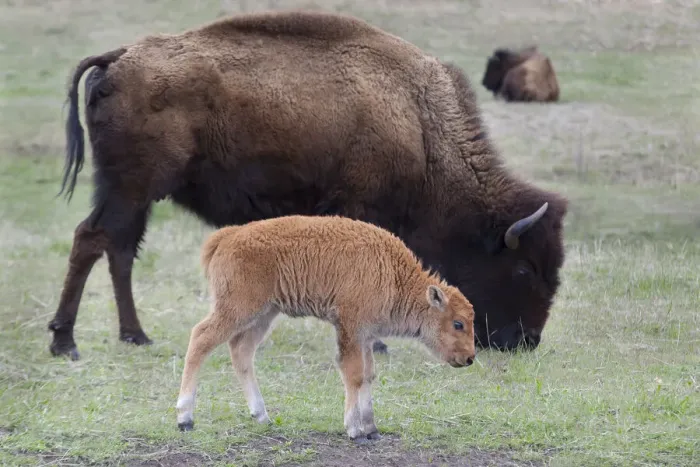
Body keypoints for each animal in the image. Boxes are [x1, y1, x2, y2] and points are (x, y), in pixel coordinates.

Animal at [49, 10, 568, 362]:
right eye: (524, 269)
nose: (526, 341)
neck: (420, 125)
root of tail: (119, 58)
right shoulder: (361, 211)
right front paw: (377, 343)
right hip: (132, 187)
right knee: (92, 239)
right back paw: (66, 342)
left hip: (131, 192)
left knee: (118, 248)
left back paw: (135, 336)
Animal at [176, 215, 477, 441]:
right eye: (458, 323)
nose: (470, 358)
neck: (394, 275)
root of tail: (228, 236)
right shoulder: (351, 328)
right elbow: (354, 374)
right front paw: (354, 430)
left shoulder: (366, 336)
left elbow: (369, 375)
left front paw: (372, 429)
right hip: (238, 309)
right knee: (201, 338)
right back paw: (185, 418)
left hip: (264, 314)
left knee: (241, 351)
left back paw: (262, 416)